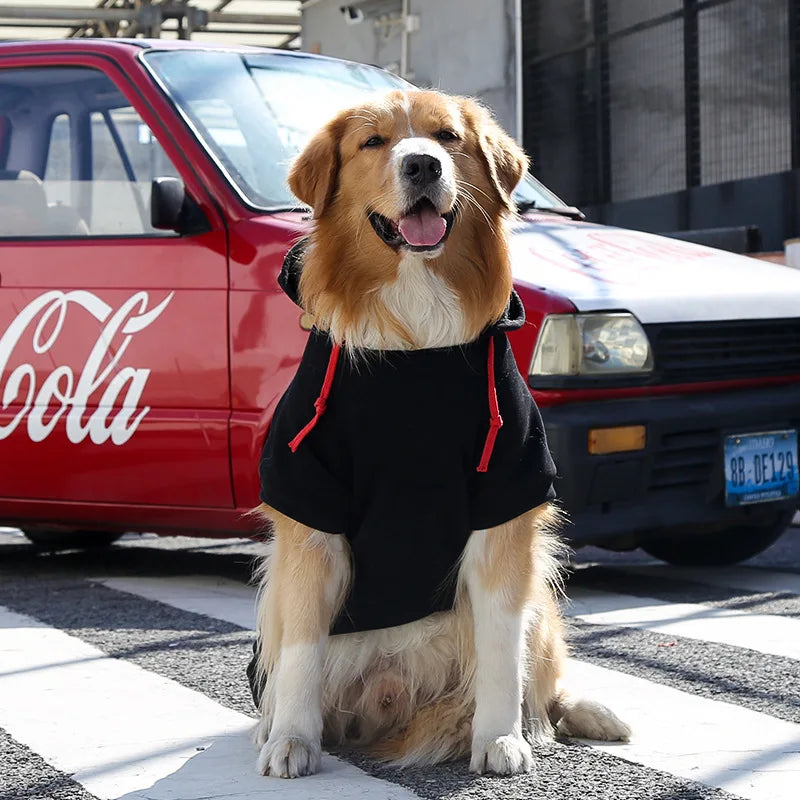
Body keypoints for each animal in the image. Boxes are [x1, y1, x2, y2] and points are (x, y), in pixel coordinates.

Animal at [250, 90, 632, 780]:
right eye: (373, 143)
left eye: (448, 137)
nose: (422, 164)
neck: (416, 330)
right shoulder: (309, 512)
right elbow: (299, 652)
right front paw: (291, 738)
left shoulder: (507, 504)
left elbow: (503, 651)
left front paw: (501, 737)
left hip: (541, 598)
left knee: (545, 682)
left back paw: (581, 714)